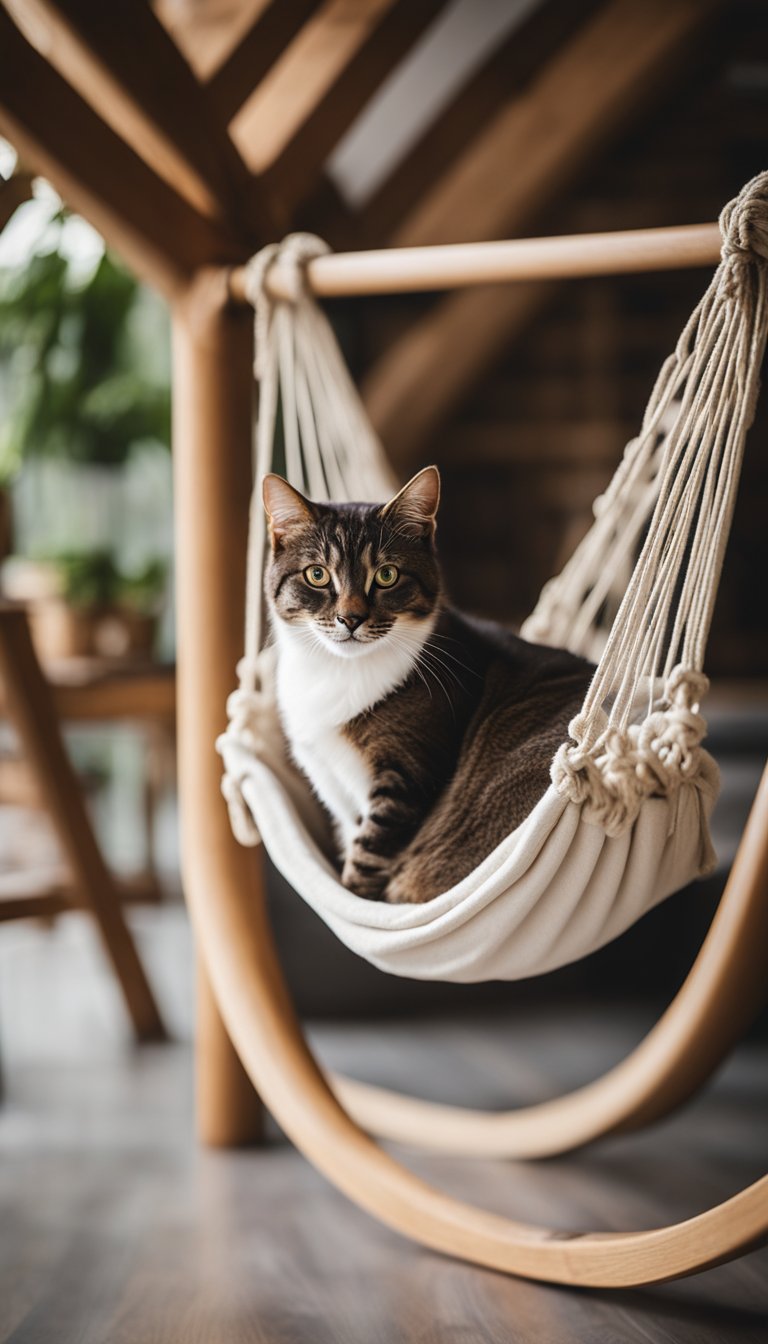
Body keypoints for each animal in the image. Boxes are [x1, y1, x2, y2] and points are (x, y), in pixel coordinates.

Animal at [264, 465, 594, 903]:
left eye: (386, 575)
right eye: (317, 575)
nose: (350, 618)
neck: (337, 671)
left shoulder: (407, 780)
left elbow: (367, 855)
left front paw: (356, 894)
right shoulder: (329, 778)